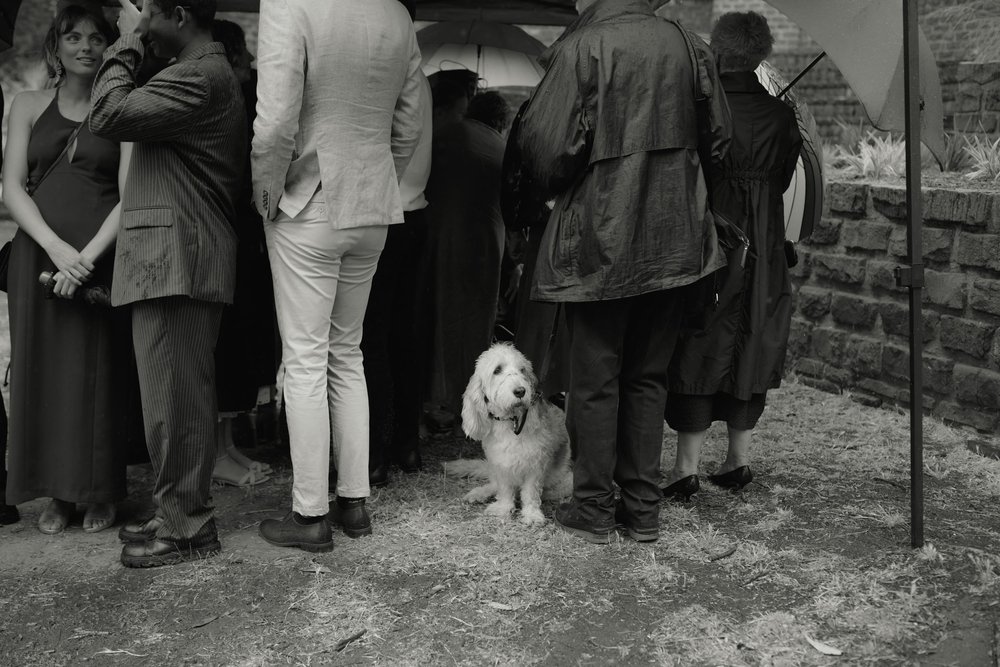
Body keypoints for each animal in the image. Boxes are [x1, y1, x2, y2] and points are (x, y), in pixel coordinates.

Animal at [444, 344, 576, 528]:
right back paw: (479, 493)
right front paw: (503, 508)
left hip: (567, 481)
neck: (510, 421)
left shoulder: (535, 466)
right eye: (497, 370)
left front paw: (532, 514)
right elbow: (504, 489)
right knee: (494, 483)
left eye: (522, 370)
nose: (520, 391)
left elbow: (530, 493)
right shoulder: (500, 463)